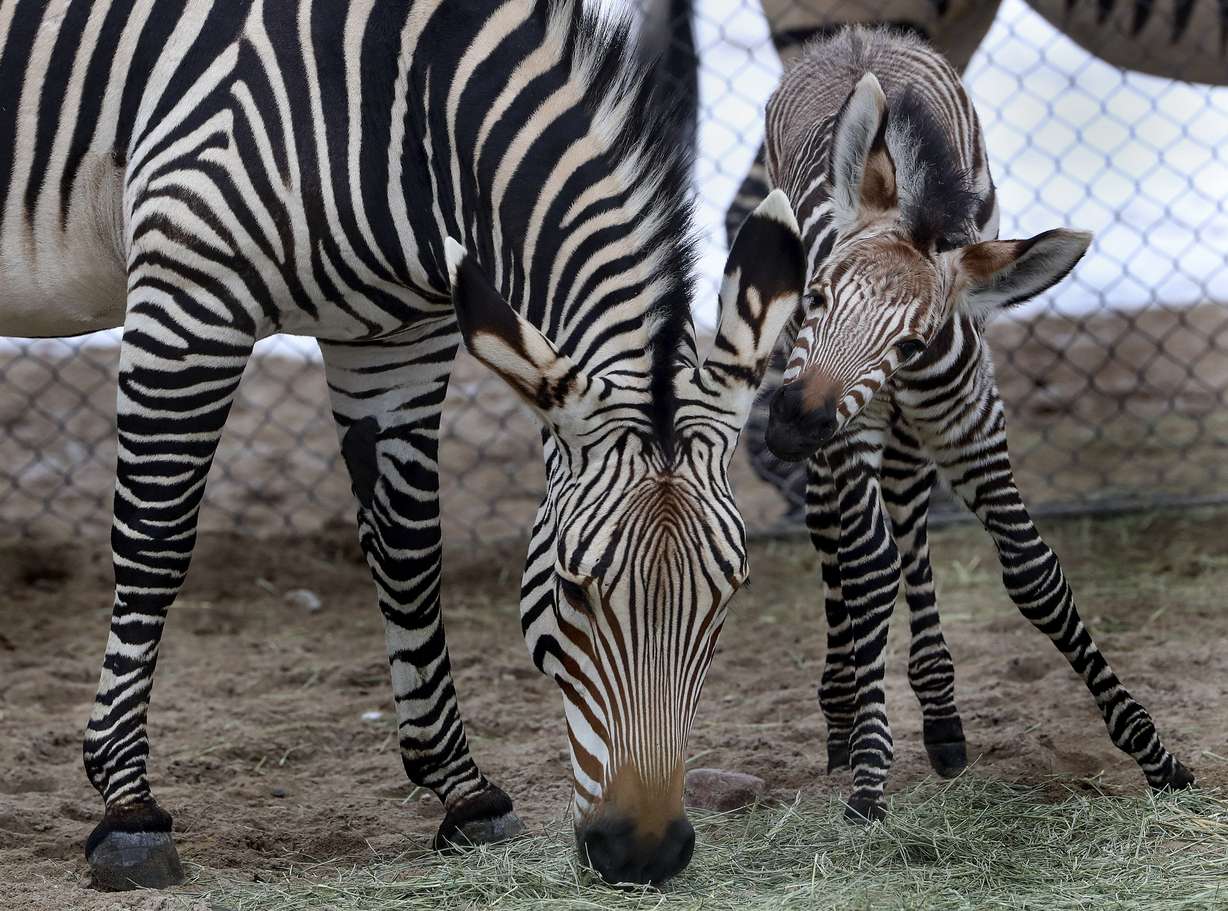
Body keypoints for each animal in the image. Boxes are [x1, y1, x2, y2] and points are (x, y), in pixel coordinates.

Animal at [0, 0, 806, 889]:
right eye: (574, 589)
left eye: (730, 593)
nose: (646, 852)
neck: (404, 102)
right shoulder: (189, 296)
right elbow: (156, 544)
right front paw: (127, 806)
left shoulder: (397, 338)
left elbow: (408, 553)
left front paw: (463, 790)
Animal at [760, 26, 1195, 821]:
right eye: (816, 297)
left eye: (909, 343)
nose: (794, 425)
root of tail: (860, 36)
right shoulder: (846, 428)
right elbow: (867, 568)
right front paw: (868, 772)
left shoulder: (971, 422)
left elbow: (1033, 573)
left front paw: (1157, 756)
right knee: (833, 528)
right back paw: (843, 712)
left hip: (907, 432)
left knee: (907, 511)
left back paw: (940, 716)